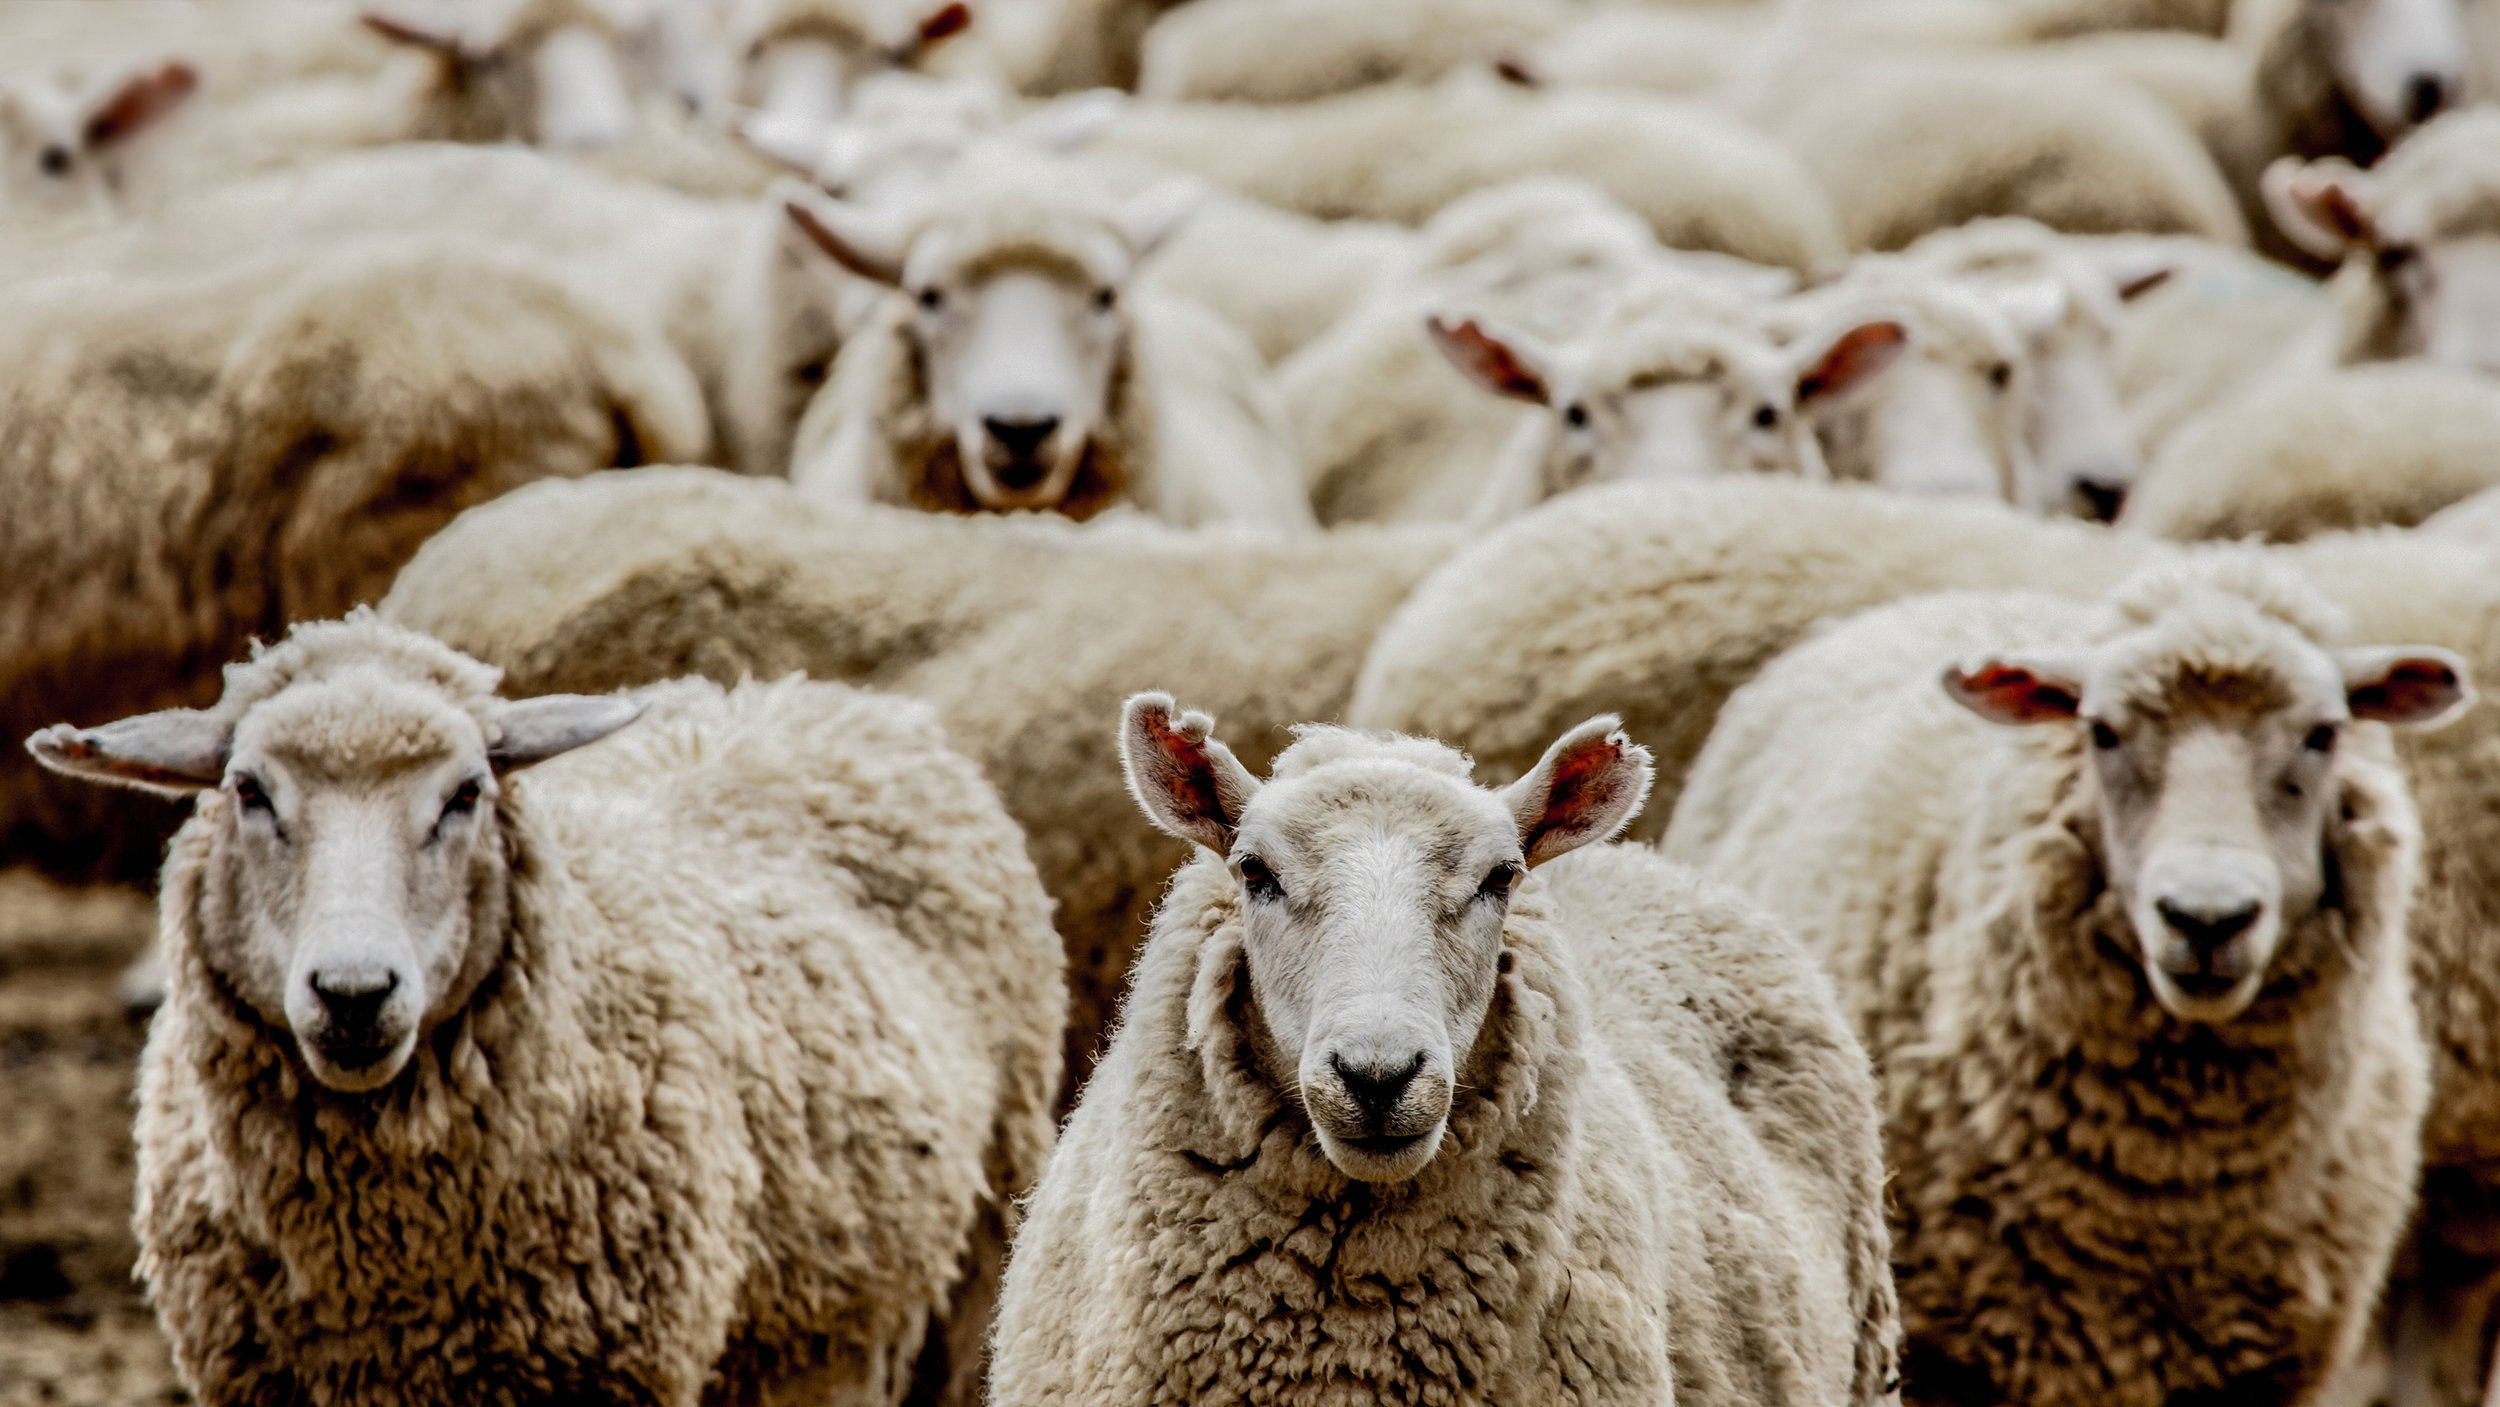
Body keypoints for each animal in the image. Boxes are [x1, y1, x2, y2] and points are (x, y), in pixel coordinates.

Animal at [27, 611, 1064, 1406]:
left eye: (466, 793)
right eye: (249, 790)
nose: (355, 993)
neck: (386, 1271)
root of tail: (824, 695)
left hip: (972, 1259)